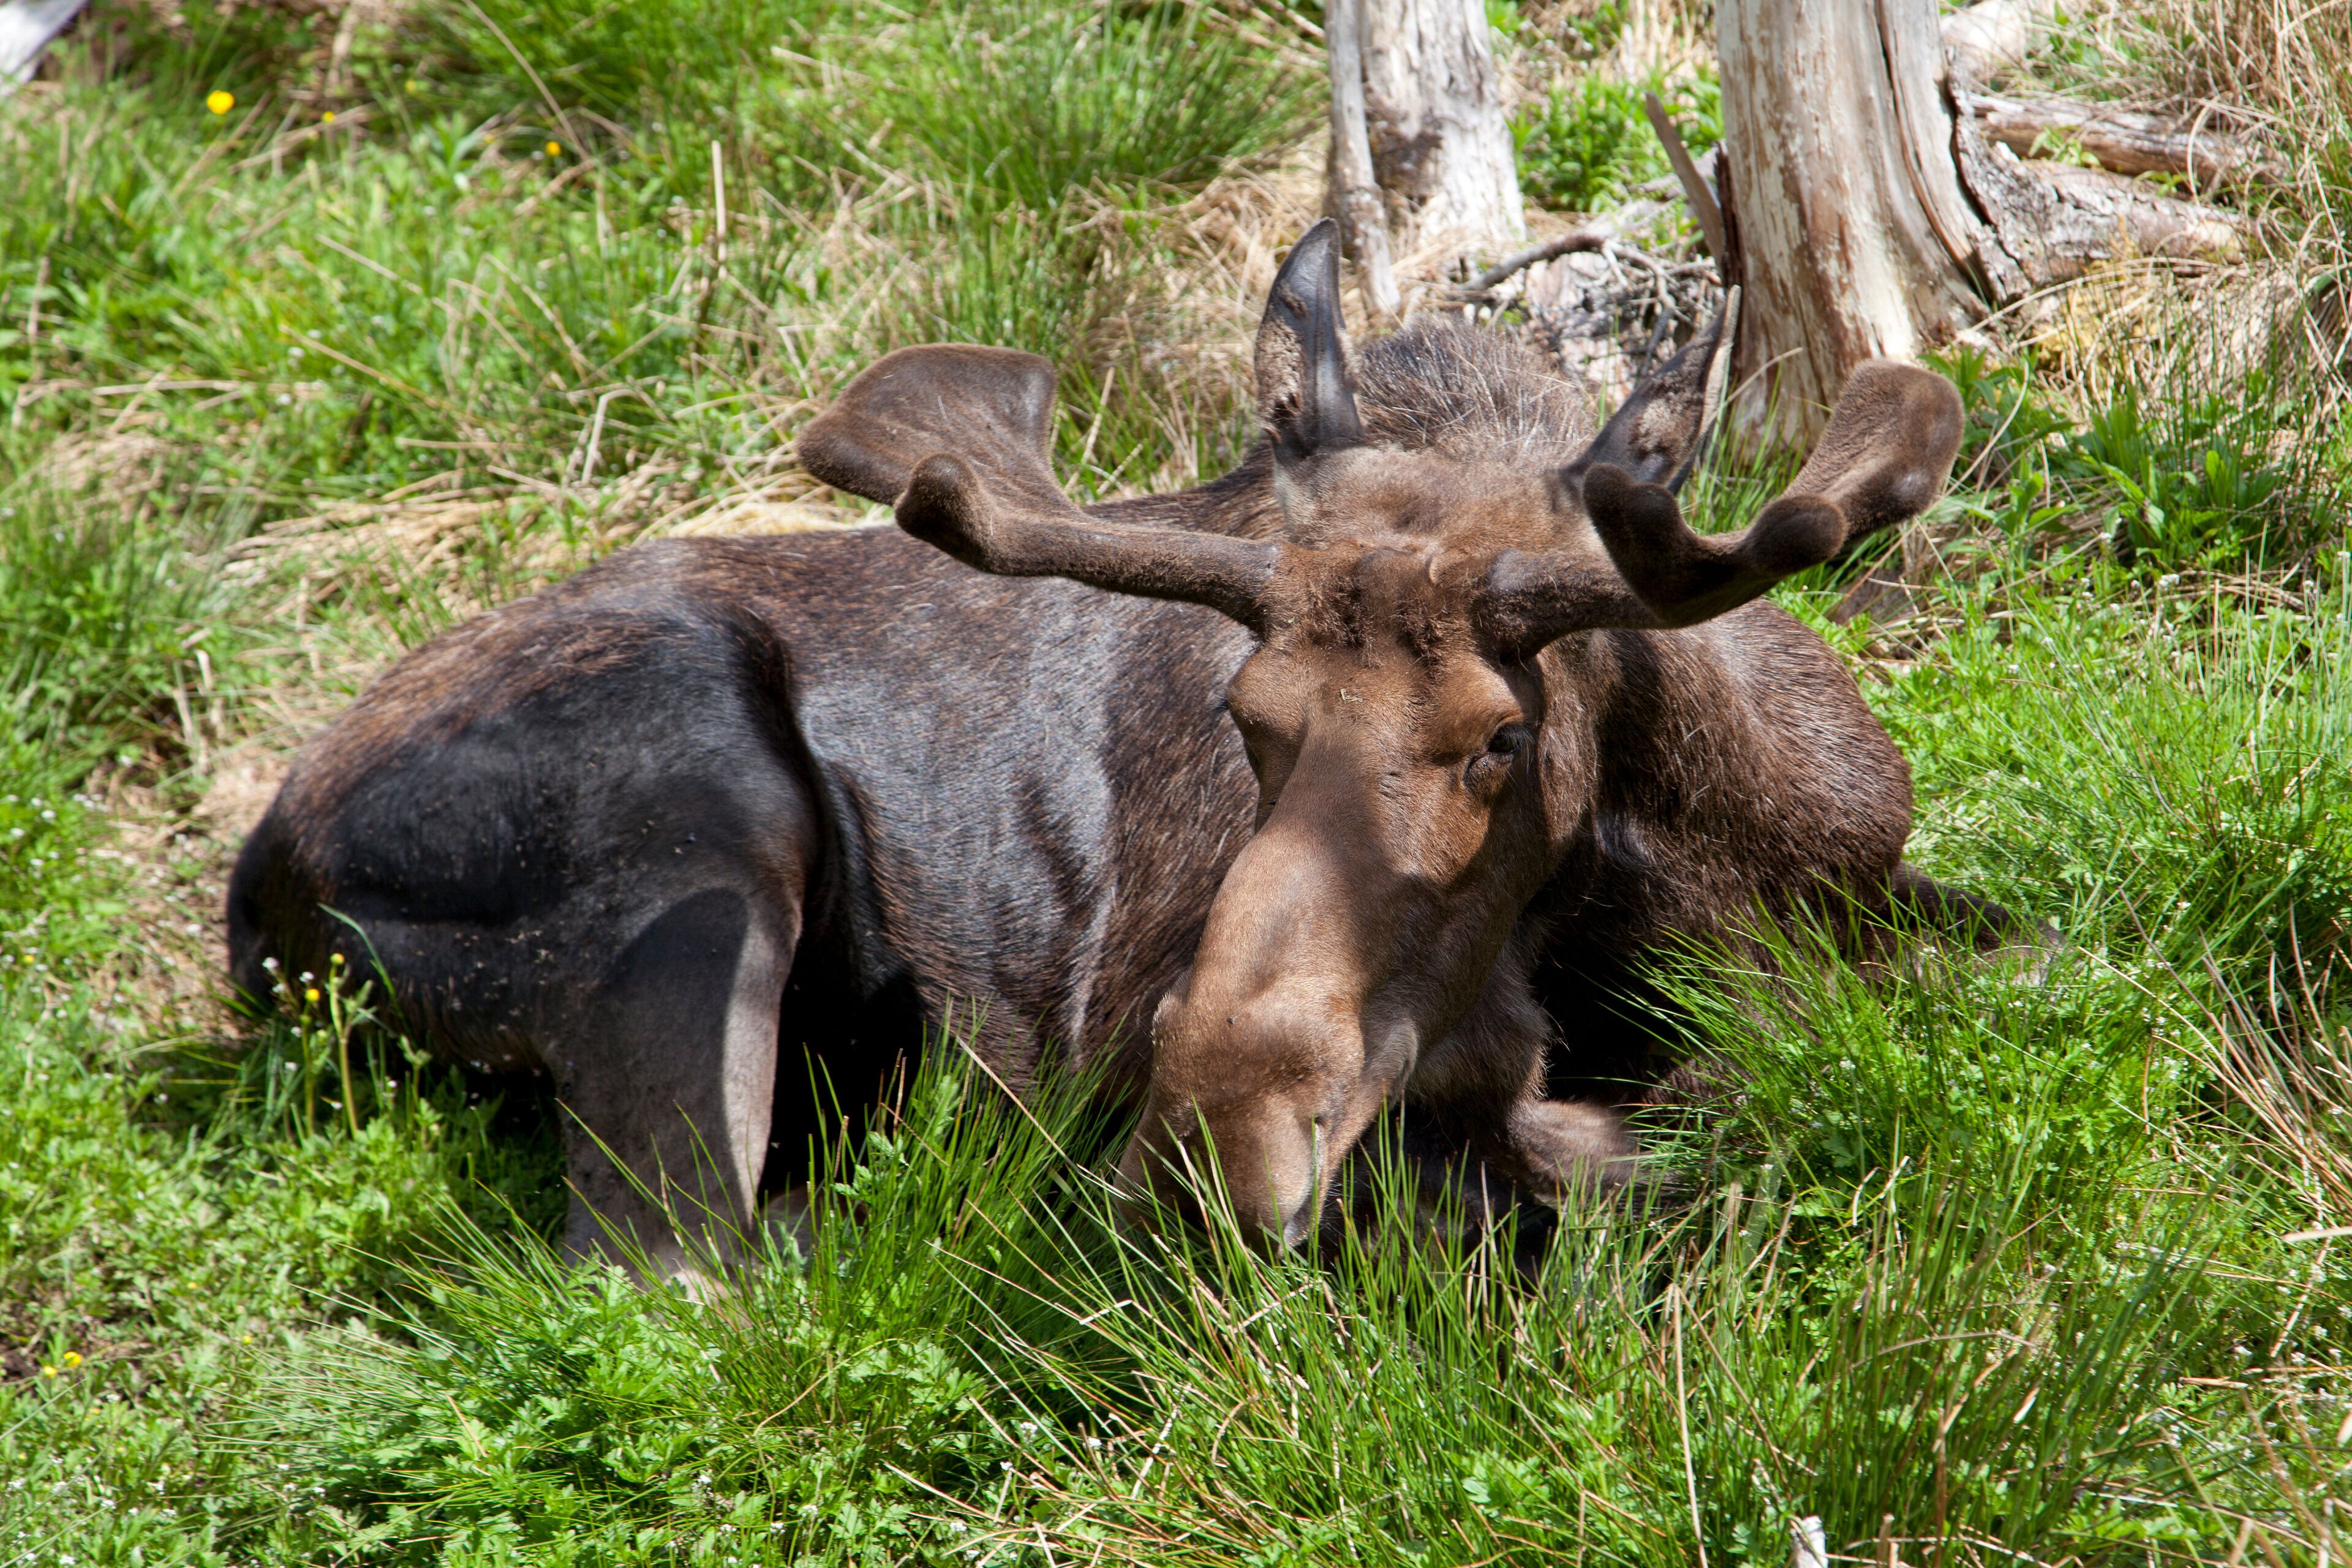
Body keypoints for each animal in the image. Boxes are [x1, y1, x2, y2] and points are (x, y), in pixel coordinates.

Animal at [228, 219, 2028, 1272]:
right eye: (1248, 717)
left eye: (1501, 737)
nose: (1223, 1121)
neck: (1705, 846)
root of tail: (256, 882)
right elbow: (1612, 1139)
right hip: (704, 831)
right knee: (677, 1250)